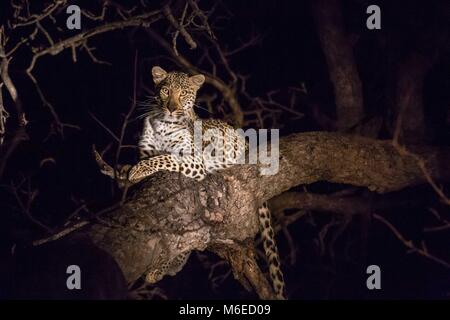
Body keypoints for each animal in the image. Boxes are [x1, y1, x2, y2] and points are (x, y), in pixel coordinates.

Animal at [129, 66, 284, 298]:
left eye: (184, 93)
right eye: (165, 90)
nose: (172, 109)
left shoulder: (194, 159)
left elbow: (163, 158)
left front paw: (136, 171)